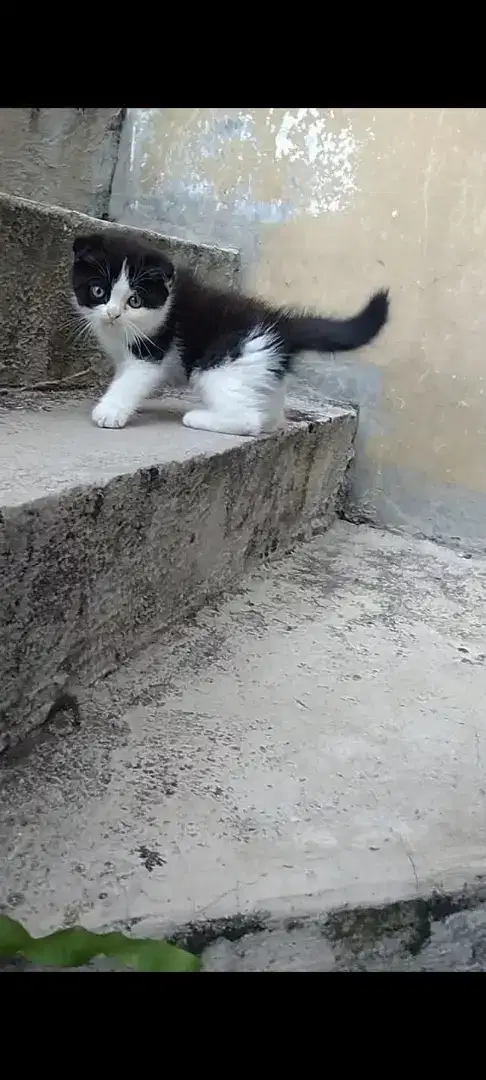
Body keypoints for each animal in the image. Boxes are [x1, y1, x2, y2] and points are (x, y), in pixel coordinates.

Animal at [72, 228, 388, 434]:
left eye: (135, 300)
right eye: (98, 291)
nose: (112, 314)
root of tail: (281, 323)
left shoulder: (153, 348)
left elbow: (132, 380)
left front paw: (110, 411)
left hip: (221, 366)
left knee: (247, 418)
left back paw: (201, 418)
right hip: (260, 365)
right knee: (265, 406)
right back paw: (269, 419)